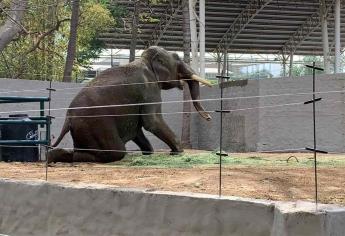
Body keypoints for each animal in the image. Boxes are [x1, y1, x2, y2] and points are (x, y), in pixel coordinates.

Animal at [47, 46, 211, 163]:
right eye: (177, 58)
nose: (209, 117)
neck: (146, 60)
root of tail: (68, 116)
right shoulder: (149, 89)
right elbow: (152, 121)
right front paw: (178, 152)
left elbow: (137, 129)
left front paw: (148, 153)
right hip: (95, 124)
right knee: (116, 151)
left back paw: (52, 157)